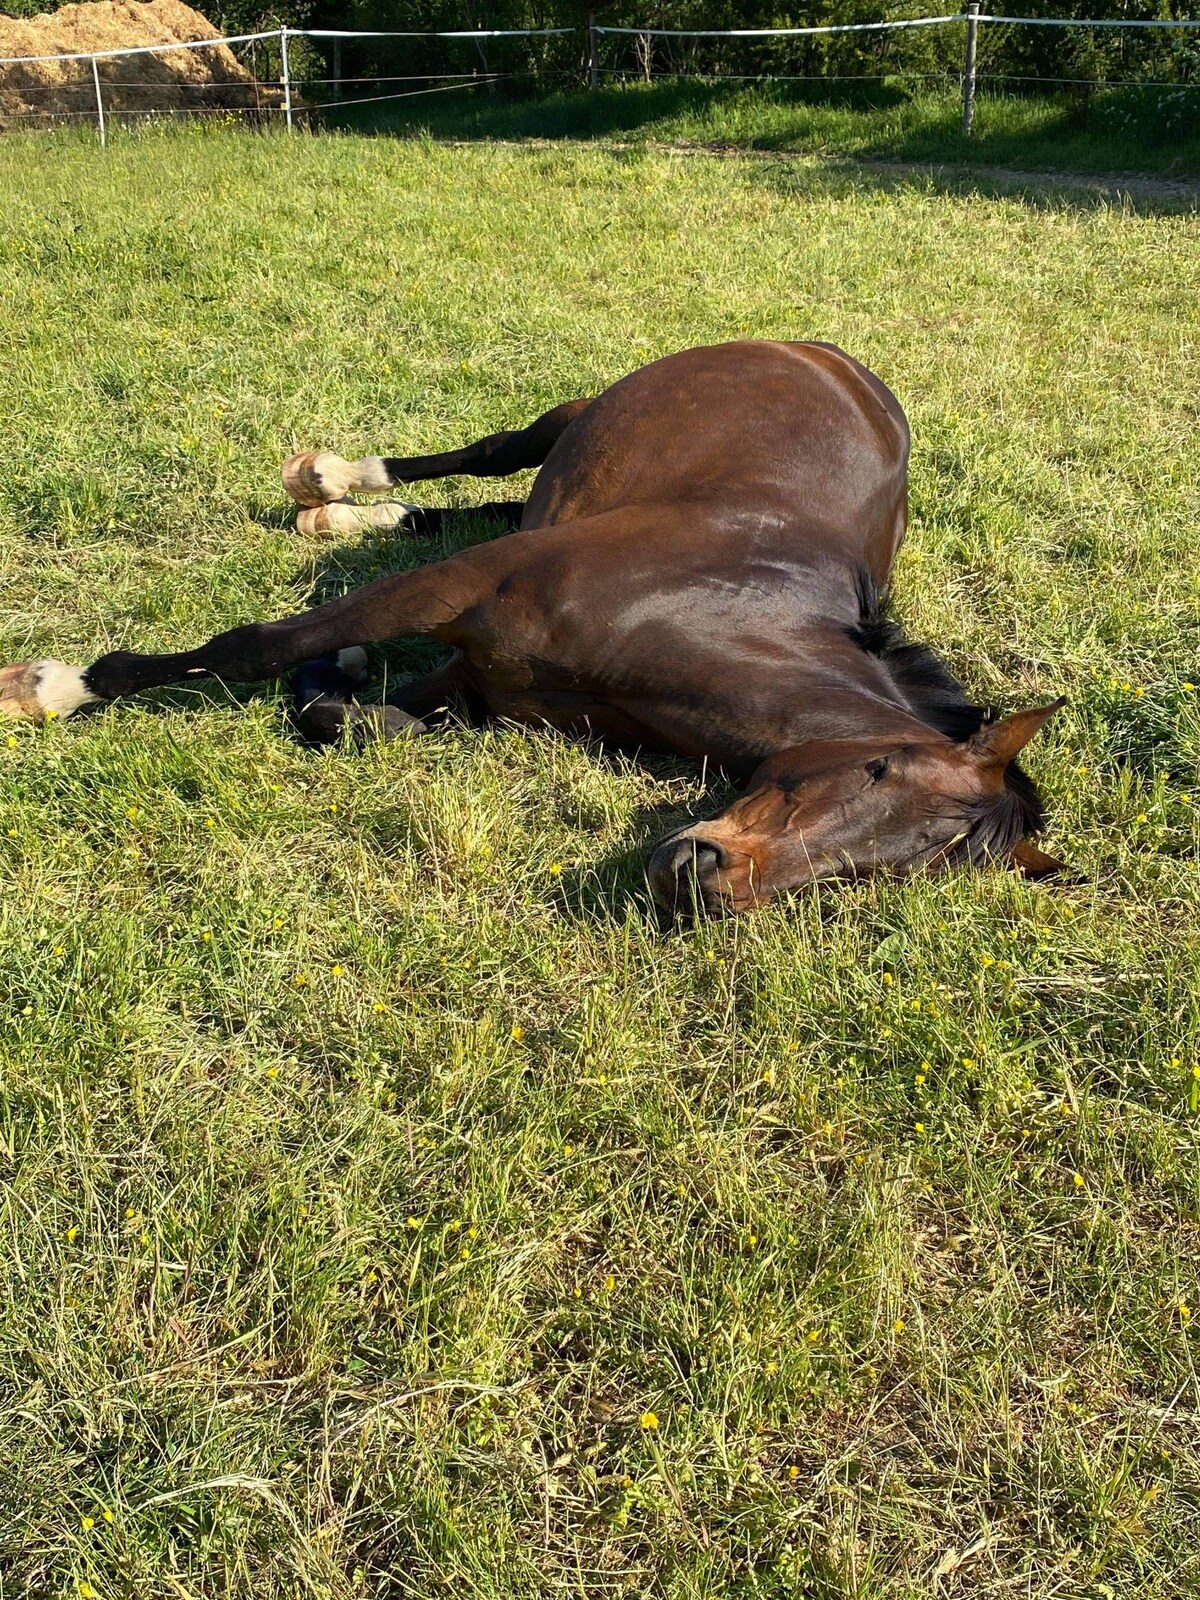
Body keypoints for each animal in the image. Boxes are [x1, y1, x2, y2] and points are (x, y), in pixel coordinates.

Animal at [0, 340, 1068, 915]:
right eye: (876, 770)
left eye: (888, 879)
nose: (702, 878)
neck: (715, 612)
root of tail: (835, 358)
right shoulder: (459, 593)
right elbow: (254, 646)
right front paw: (56, 687)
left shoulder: (474, 683)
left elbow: (342, 715)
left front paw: (338, 669)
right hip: (573, 415)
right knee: (486, 456)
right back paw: (335, 479)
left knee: (481, 504)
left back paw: (340, 515)